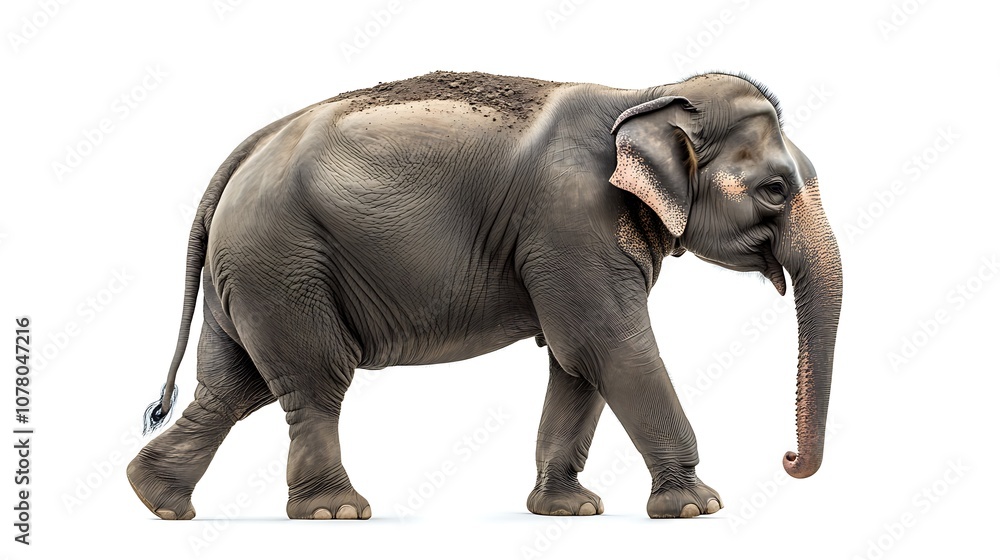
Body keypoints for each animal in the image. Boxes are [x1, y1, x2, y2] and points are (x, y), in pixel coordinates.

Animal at [127, 70, 842, 521]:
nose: (786, 459)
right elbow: (608, 346)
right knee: (314, 380)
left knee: (233, 386)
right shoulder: (570, 222)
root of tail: (243, 153)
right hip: (283, 263)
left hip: (249, 275)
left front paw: (568, 510)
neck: (648, 93)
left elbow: (576, 363)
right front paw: (697, 506)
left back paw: (157, 500)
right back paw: (334, 511)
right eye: (775, 188)